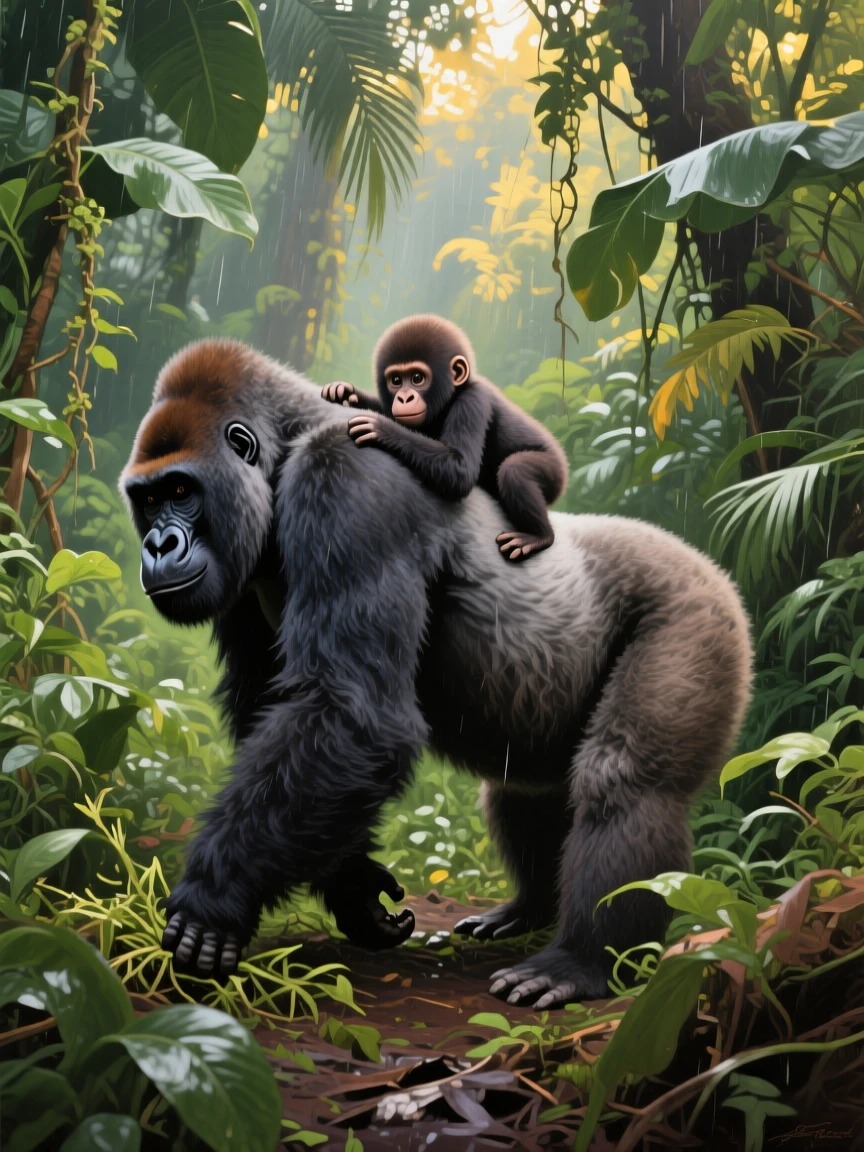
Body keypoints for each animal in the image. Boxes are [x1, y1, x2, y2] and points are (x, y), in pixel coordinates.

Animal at [321, 315, 569, 563]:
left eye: (417, 378)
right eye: (396, 380)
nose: (404, 398)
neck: (452, 395)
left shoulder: (471, 401)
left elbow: (461, 469)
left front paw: (383, 428)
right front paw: (346, 393)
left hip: (554, 471)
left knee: (515, 470)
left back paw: (539, 536)